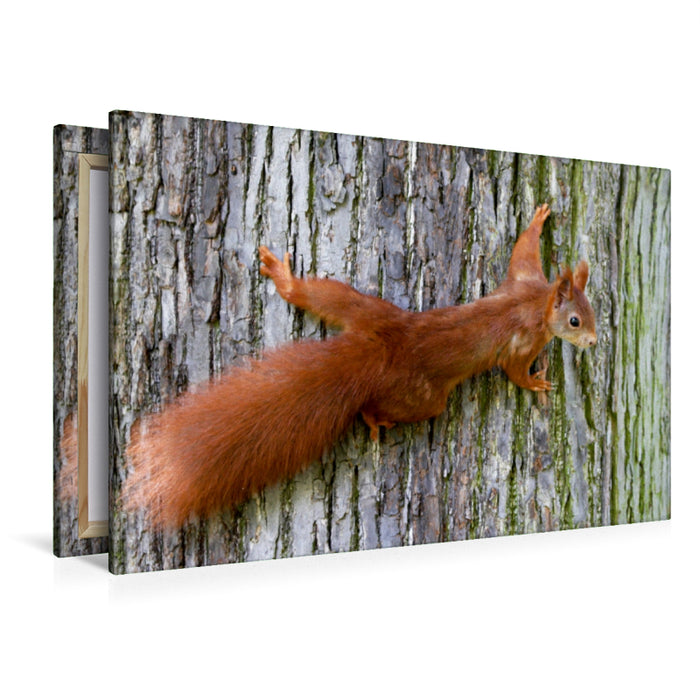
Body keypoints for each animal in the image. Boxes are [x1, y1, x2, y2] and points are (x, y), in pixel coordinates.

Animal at [122, 204, 596, 529]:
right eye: (575, 321)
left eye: (593, 312)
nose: (593, 341)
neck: (537, 303)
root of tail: (383, 349)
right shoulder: (523, 338)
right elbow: (514, 371)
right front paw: (535, 384)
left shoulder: (524, 279)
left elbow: (522, 252)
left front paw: (536, 222)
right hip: (422, 396)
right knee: (390, 406)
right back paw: (373, 419)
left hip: (363, 309)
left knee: (323, 296)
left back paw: (288, 282)